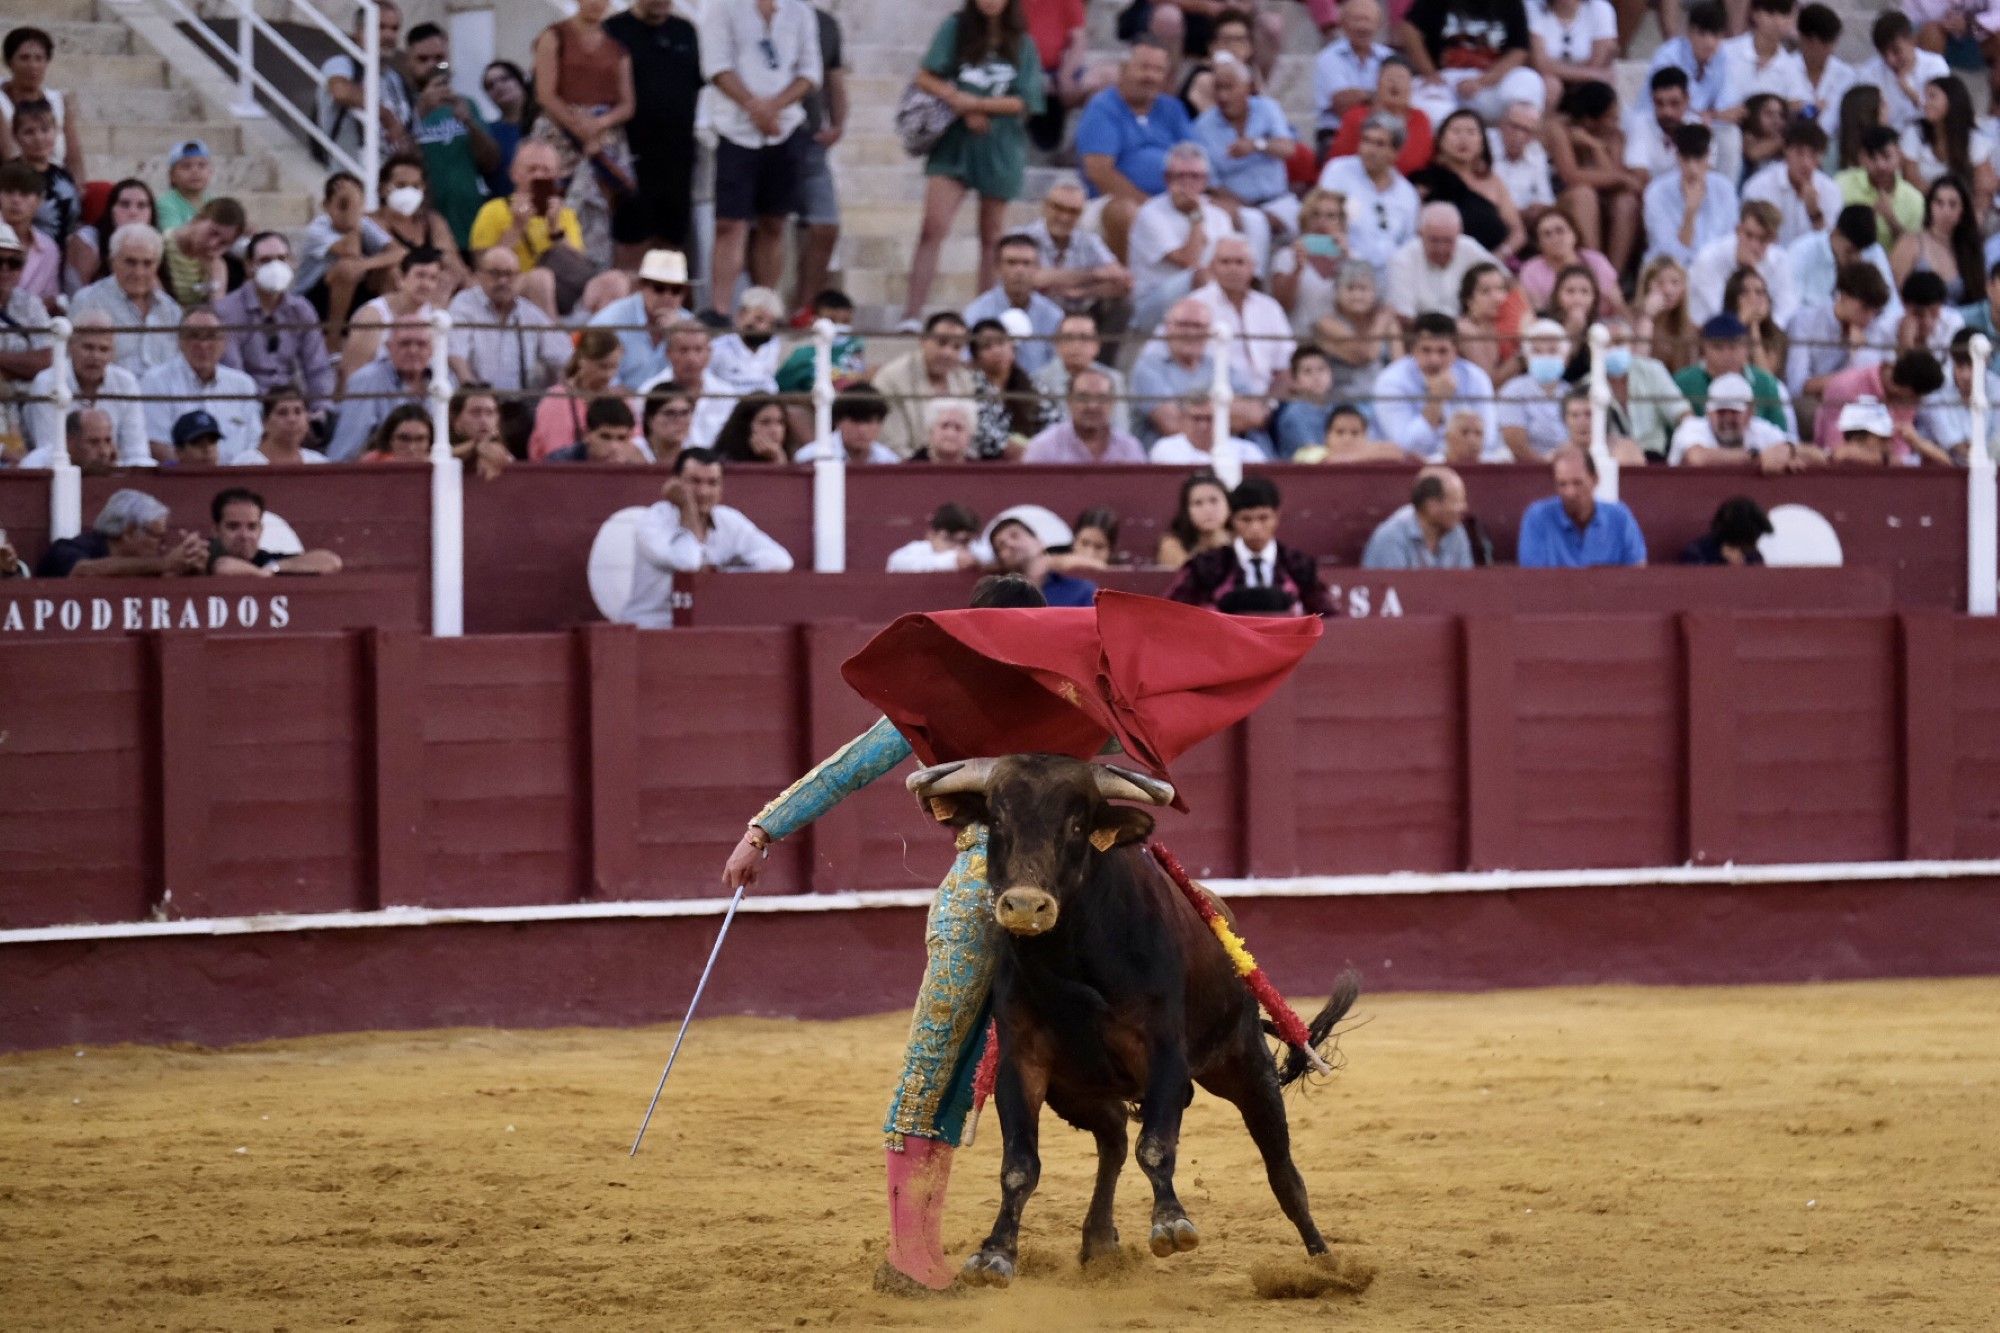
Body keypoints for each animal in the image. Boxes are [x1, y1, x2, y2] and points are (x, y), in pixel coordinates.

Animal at [912, 752, 1360, 1280]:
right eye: (997, 819)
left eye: (1077, 824)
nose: (1024, 906)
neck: (1073, 954)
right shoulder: (1022, 1062)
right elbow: (1020, 1165)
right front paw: (996, 1251)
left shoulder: (1164, 1052)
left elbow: (1157, 1144)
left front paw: (1170, 1223)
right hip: (1080, 1091)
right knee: (1114, 1141)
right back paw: (1099, 1239)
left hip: (1245, 1064)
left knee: (1281, 1169)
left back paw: (1326, 1264)